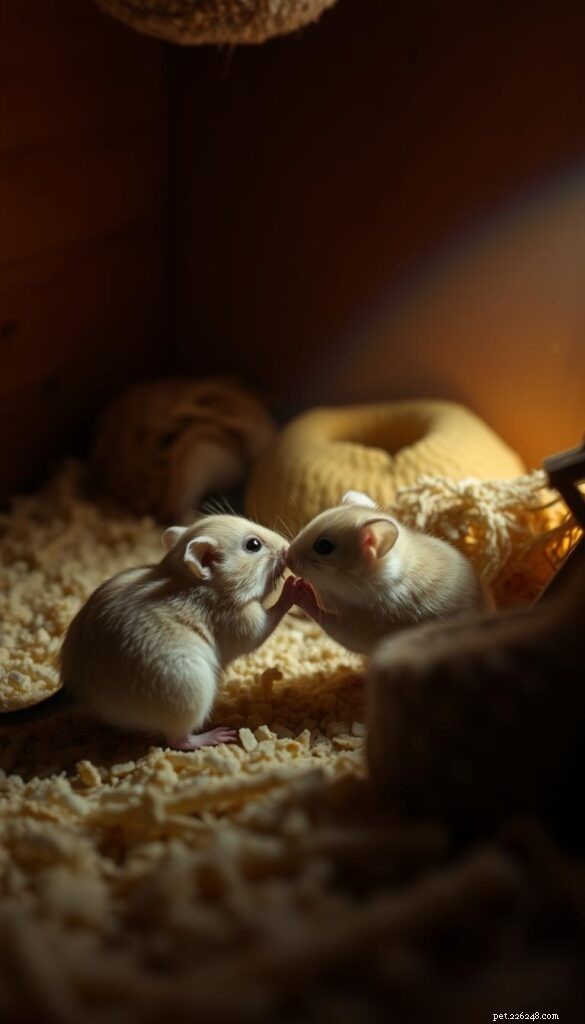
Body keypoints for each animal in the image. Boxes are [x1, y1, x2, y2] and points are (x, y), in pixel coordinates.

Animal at [1, 515, 298, 751]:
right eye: (253, 545)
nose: (287, 548)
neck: (192, 580)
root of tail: (76, 691)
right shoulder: (241, 621)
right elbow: (267, 621)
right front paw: (294, 586)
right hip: (190, 690)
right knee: (177, 740)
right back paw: (213, 736)